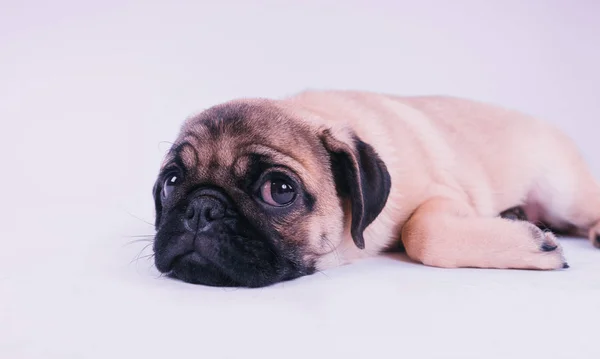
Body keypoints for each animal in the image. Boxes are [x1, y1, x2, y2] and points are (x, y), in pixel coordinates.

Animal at [151, 91, 600, 288]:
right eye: (171, 183)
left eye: (279, 190)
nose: (202, 208)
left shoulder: (444, 195)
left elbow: (420, 231)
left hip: (564, 194)